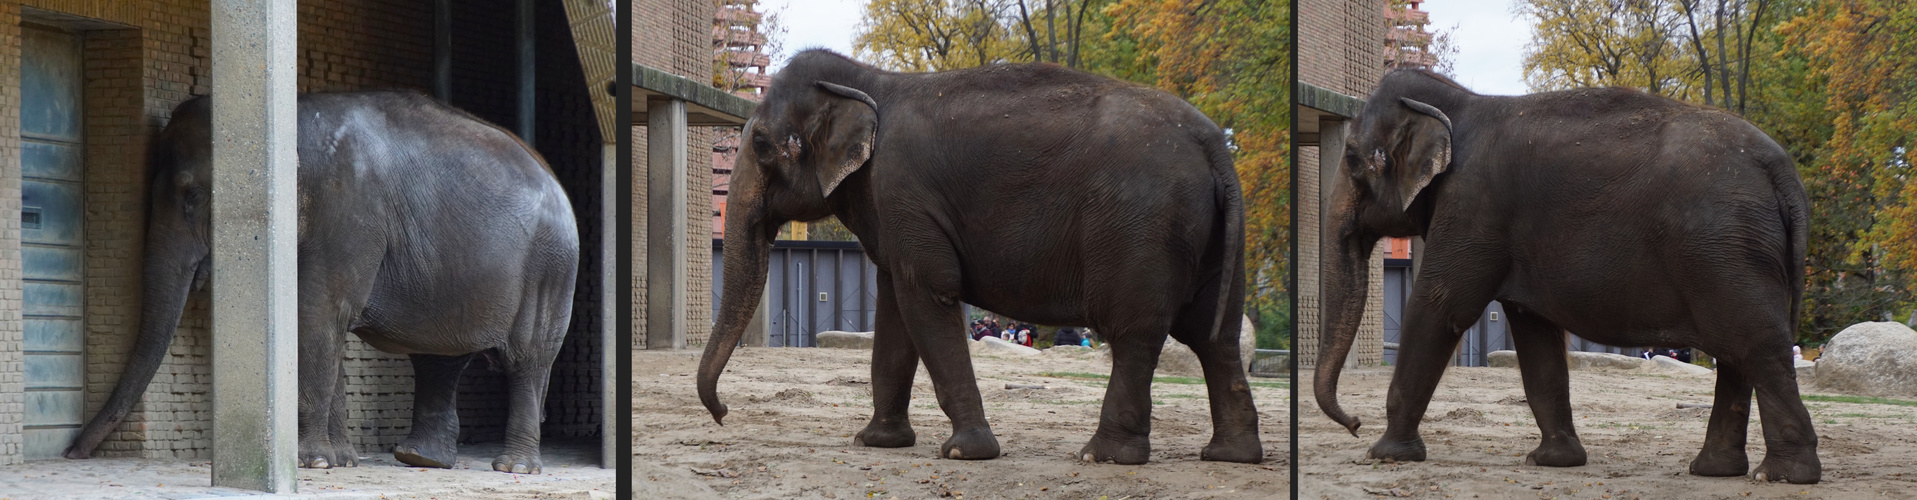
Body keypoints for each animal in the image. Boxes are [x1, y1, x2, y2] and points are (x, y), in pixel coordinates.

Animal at [63, 91, 578, 473]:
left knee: (528, 361)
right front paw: (341, 461)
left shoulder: (348, 213)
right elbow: (319, 324)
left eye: (192, 196)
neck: (286, 107)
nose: (71, 453)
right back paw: (419, 458)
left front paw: (312, 462)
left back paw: (513, 468)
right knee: (438, 359)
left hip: (549, 272)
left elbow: (317, 314)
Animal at [697, 50, 1265, 463]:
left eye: (762, 145)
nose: (724, 414)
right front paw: (874, 442)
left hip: (1140, 227)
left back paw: (1102, 457)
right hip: (1210, 234)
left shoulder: (904, 191)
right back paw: (1229, 456)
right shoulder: (895, 209)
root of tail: (1215, 145)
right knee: (1215, 335)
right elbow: (895, 311)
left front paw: (963, 452)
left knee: (1136, 333)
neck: (869, 82)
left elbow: (928, 296)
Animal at [1311, 68, 1817, 480]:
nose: (1354, 424)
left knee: (1757, 344)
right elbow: (1535, 333)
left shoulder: (1472, 208)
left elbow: (1439, 306)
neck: (1459, 103)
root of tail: (1782, 169)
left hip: (1724, 249)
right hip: (1730, 254)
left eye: (1352, 159)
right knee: (1738, 353)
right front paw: (1554, 461)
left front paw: (1385, 454)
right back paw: (1715, 470)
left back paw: (1782, 476)